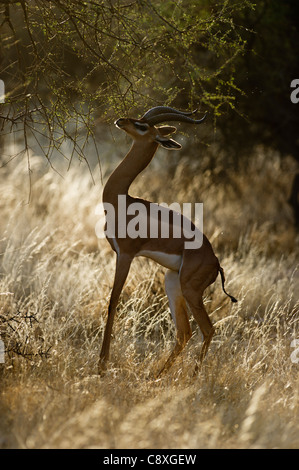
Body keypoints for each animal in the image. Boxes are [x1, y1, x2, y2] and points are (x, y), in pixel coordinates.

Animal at [99, 105, 238, 374]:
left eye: (142, 126)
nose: (121, 120)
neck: (122, 200)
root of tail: (215, 261)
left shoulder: (125, 255)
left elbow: (113, 302)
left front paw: (101, 364)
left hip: (191, 290)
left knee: (207, 329)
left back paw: (192, 377)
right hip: (173, 282)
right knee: (185, 332)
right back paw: (157, 375)